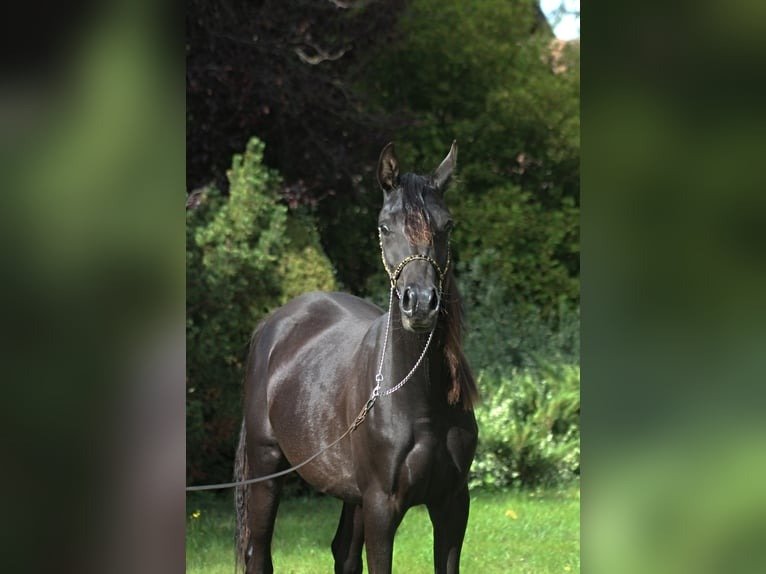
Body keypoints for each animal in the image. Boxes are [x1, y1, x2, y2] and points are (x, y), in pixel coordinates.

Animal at [234, 141, 479, 574]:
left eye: (447, 225)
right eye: (384, 226)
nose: (420, 304)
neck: (420, 398)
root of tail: (272, 325)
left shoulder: (452, 506)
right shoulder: (382, 506)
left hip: (351, 494)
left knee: (343, 554)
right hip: (265, 468)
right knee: (257, 553)